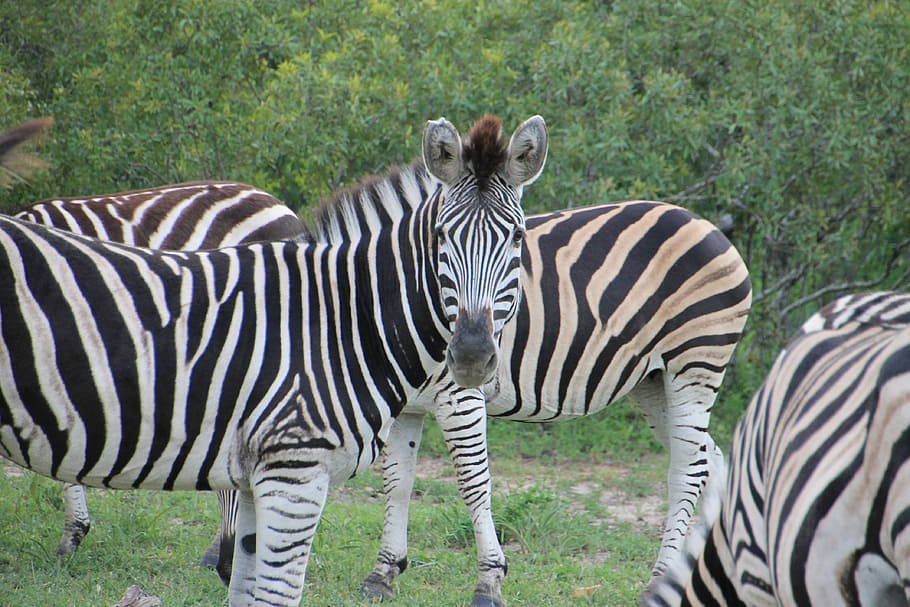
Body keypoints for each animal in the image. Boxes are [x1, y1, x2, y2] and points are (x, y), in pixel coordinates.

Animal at [207, 198, 756, 604]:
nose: (228, 570)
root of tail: (706, 224)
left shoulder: (458, 395)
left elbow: (474, 485)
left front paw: (489, 581)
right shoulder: (406, 406)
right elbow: (398, 486)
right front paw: (384, 573)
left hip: (694, 364)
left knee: (688, 467)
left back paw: (659, 580)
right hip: (652, 382)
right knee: (709, 458)